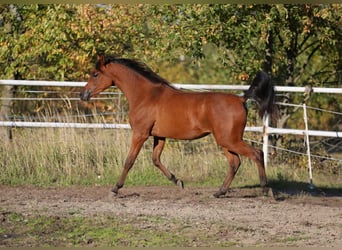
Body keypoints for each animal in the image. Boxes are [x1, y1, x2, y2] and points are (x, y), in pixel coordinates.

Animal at [81, 54, 278, 197]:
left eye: (95, 74)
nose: (83, 95)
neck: (146, 96)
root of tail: (241, 100)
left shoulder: (140, 134)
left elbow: (129, 161)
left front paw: (115, 188)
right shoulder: (159, 136)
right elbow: (156, 159)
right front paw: (179, 182)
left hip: (230, 140)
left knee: (256, 154)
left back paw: (266, 189)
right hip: (225, 141)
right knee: (235, 163)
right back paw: (219, 192)